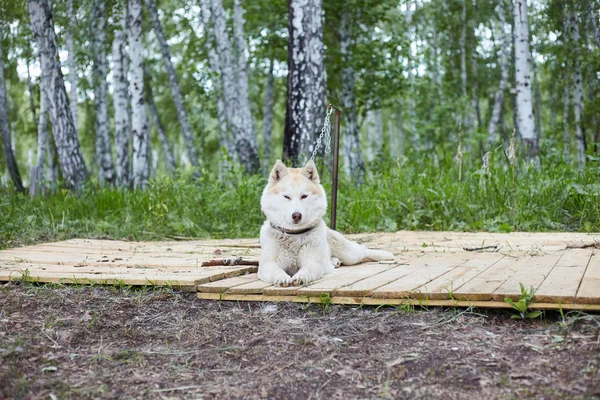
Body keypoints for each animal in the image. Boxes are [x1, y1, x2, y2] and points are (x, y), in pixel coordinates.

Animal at [258, 158, 394, 286]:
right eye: (286, 196)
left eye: (304, 196)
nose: (296, 215)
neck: (294, 235)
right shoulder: (267, 265)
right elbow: (276, 270)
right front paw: (282, 277)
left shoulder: (313, 262)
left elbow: (306, 269)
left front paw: (301, 276)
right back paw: (334, 261)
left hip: (349, 254)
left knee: (363, 250)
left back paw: (384, 255)